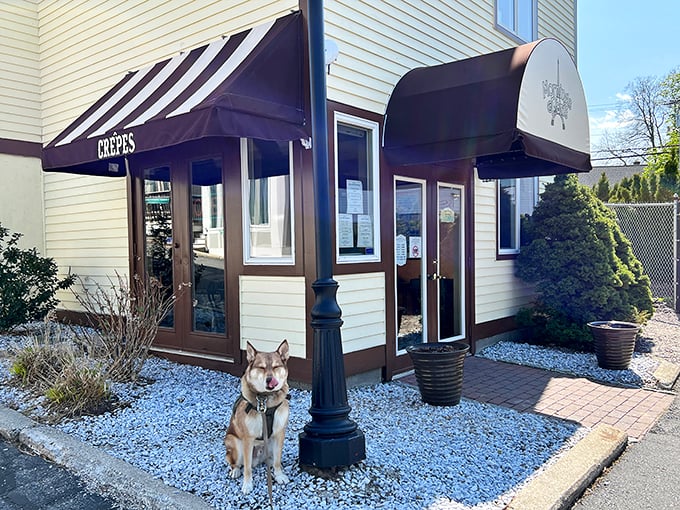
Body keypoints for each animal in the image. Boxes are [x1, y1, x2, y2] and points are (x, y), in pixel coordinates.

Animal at [222, 338, 288, 494]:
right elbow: (247, 468)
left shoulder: (279, 434)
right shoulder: (248, 438)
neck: (265, 400)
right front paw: (247, 484)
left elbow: (277, 461)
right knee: (236, 463)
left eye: (276, 367)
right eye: (261, 367)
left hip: (269, 446)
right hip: (234, 443)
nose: (270, 379)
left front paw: (279, 475)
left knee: (271, 459)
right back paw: (235, 471)